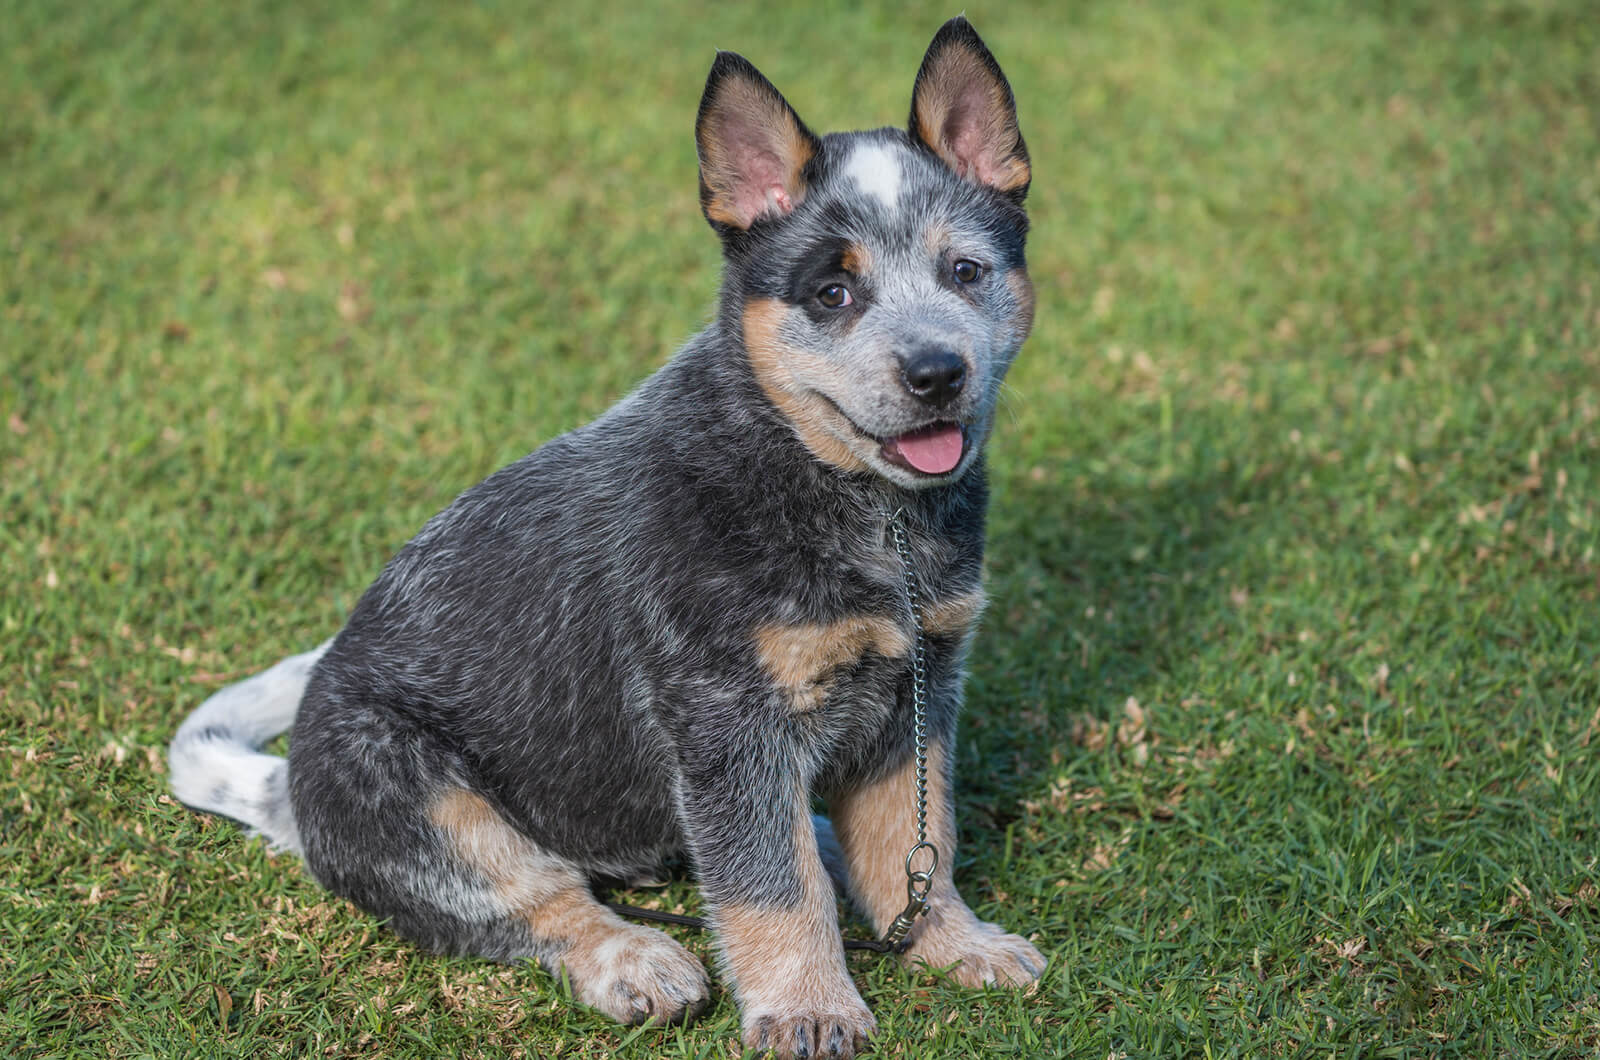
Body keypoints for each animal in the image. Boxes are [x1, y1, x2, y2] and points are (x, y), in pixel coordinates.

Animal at [175, 18, 1043, 1060]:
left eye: (966, 271)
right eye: (833, 294)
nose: (936, 372)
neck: (862, 512)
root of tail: (290, 797)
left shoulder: (921, 683)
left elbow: (917, 842)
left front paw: (954, 942)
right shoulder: (727, 722)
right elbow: (771, 886)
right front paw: (809, 1009)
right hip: (413, 786)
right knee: (539, 894)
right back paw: (636, 961)